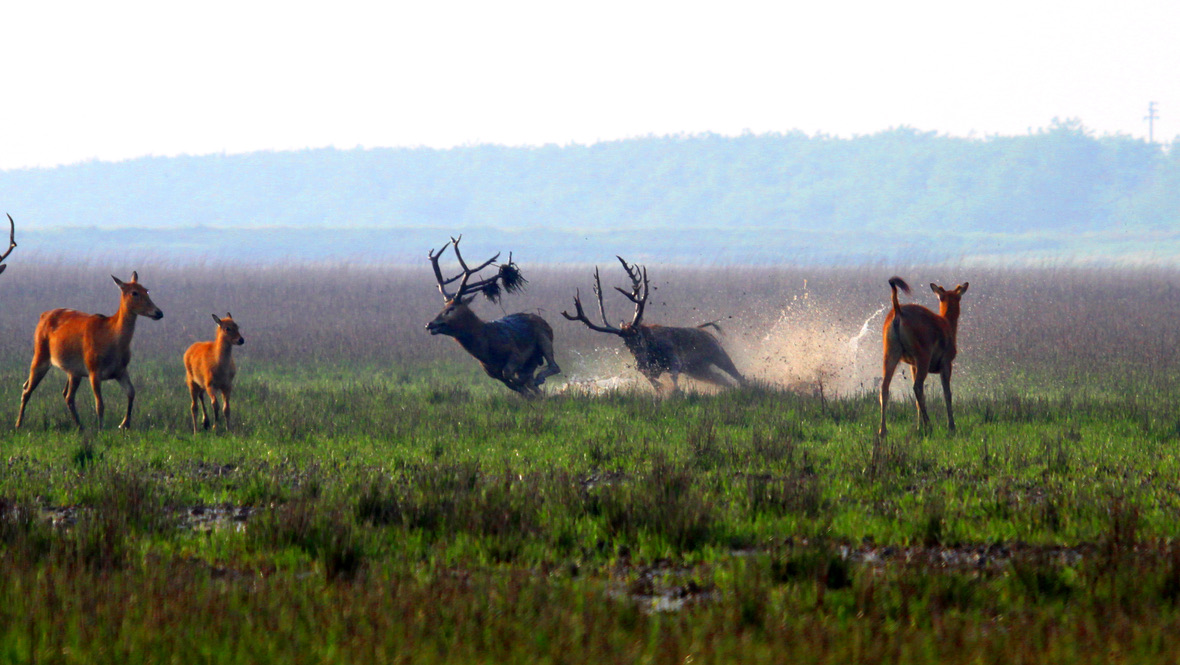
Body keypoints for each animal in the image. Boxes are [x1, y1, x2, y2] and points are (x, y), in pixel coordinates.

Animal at [14, 271, 164, 431]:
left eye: (147, 290)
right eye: (134, 293)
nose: (158, 312)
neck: (111, 339)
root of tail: (43, 315)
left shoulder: (121, 370)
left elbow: (131, 392)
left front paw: (124, 424)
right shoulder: (93, 370)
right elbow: (100, 404)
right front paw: (101, 429)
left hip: (74, 370)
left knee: (65, 395)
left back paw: (79, 426)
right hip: (40, 354)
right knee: (28, 390)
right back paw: (18, 424)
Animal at [427, 238, 559, 398]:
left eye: (451, 309)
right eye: (443, 307)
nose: (430, 324)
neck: (486, 350)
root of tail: (544, 321)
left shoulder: (515, 354)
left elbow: (511, 375)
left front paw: (532, 388)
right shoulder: (491, 372)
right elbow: (513, 384)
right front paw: (531, 393)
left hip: (544, 338)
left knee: (554, 366)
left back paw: (539, 380)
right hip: (532, 360)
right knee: (530, 375)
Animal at [564, 258, 745, 393]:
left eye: (638, 336)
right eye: (625, 343)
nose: (641, 363)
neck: (651, 351)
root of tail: (706, 331)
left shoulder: (675, 360)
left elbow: (673, 378)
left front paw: (677, 391)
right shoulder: (648, 371)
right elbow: (655, 383)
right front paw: (663, 390)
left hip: (718, 354)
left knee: (738, 376)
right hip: (699, 370)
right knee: (724, 380)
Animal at [877, 273, 967, 436]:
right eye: (959, 297)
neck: (949, 326)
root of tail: (898, 312)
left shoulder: (912, 364)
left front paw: (919, 426)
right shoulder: (946, 362)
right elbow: (947, 393)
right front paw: (951, 426)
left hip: (890, 351)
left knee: (884, 387)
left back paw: (883, 431)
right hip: (923, 353)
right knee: (917, 386)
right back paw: (929, 425)